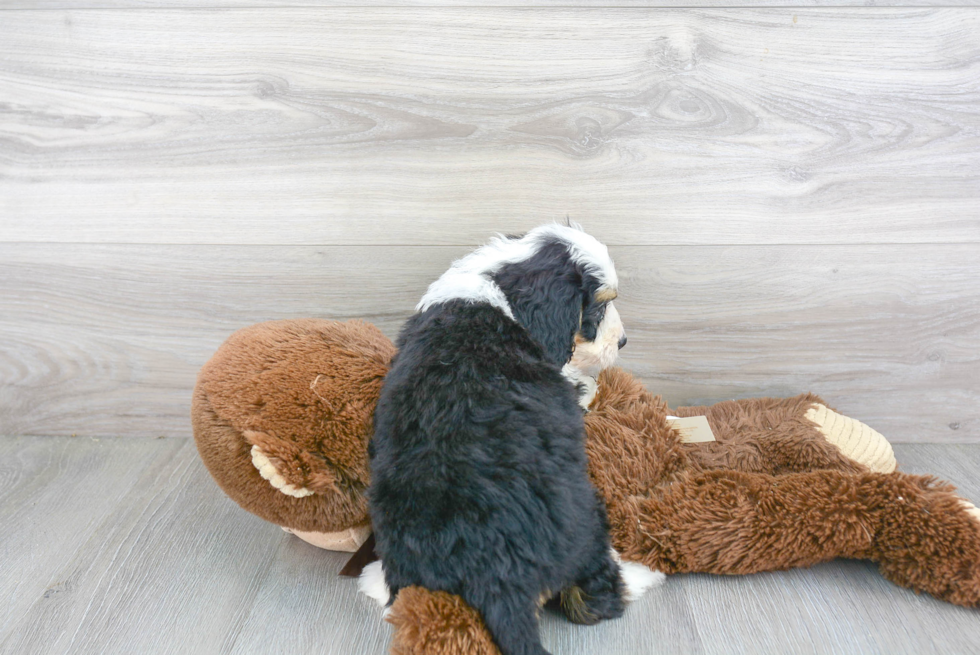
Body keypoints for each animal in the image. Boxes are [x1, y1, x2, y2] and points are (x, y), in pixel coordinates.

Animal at [364, 224, 648, 655]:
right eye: (597, 310)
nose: (624, 342)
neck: (498, 289)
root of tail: (495, 574)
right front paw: (586, 385)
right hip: (585, 517)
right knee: (592, 600)